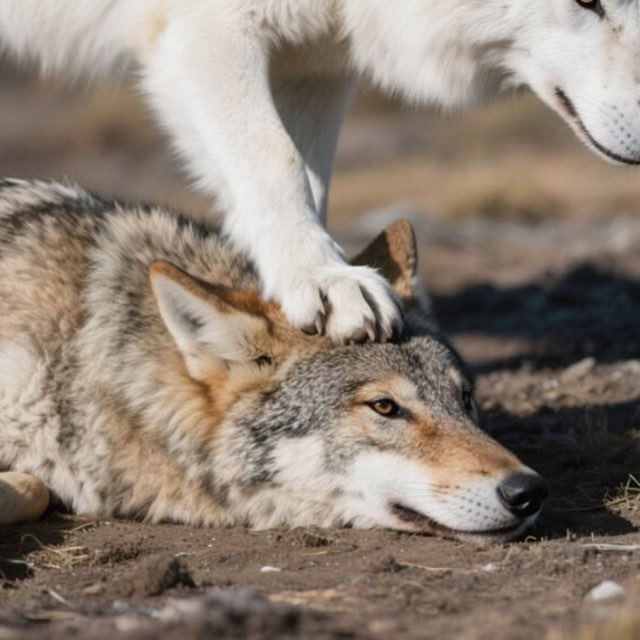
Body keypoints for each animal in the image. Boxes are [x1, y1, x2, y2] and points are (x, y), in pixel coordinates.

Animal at [1, 1, 637, 344]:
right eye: (586, 0)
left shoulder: (312, 65)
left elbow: (309, 184)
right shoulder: (205, 35)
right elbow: (274, 159)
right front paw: (323, 280)